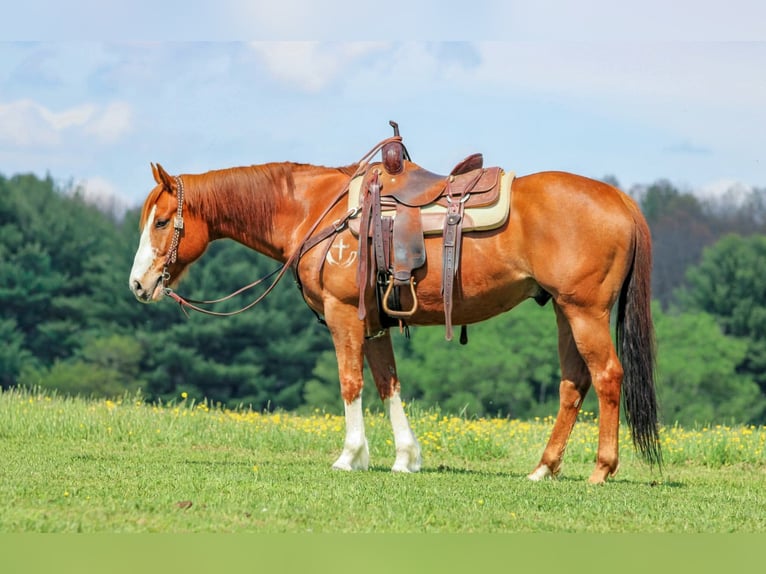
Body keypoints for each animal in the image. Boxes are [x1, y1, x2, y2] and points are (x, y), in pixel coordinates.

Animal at [129, 143, 661, 484]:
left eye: (162, 222)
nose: (138, 285)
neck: (319, 211)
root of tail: (622, 199)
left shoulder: (344, 315)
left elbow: (351, 383)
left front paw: (350, 457)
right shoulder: (373, 323)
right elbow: (389, 383)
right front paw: (406, 458)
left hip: (584, 311)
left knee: (607, 376)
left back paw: (601, 469)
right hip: (565, 313)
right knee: (575, 383)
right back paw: (543, 468)